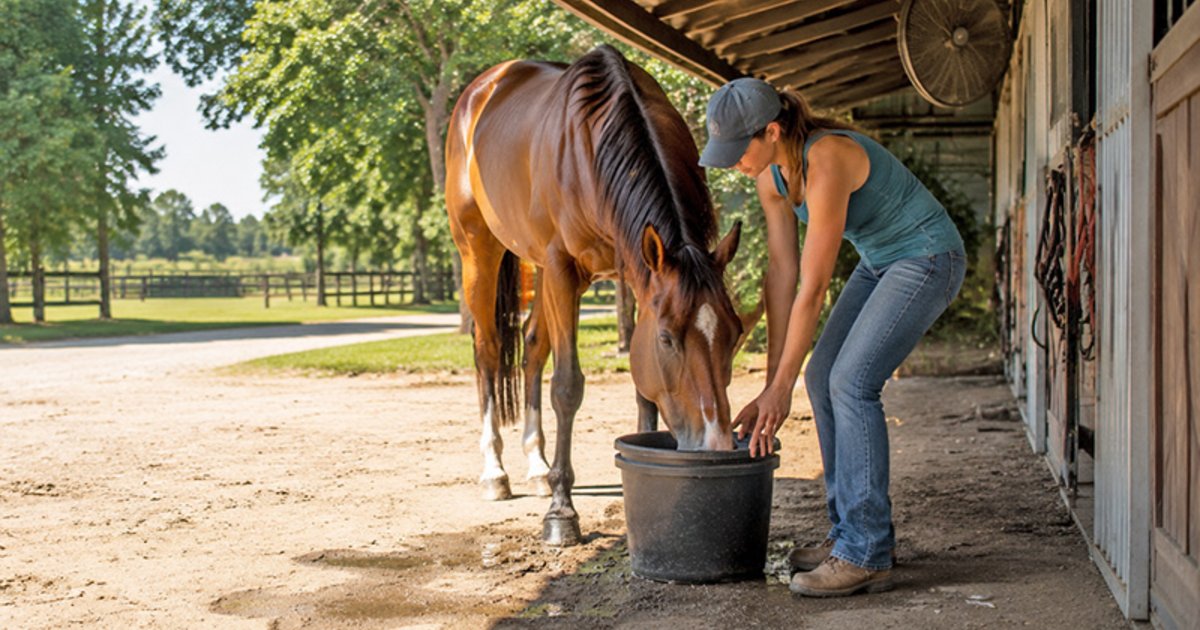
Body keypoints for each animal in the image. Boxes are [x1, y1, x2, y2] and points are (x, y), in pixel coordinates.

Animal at [444, 45, 746, 545]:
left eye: (736, 332)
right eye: (668, 338)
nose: (717, 443)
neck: (592, 147)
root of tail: (479, 91)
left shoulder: (634, 269)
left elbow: (642, 388)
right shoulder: (563, 268)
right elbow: (567, 386)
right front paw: (561, 513)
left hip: (542, 271)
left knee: (532, 348)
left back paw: (537, 465)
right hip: (479, 251)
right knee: (487, 351)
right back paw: (495, 472)